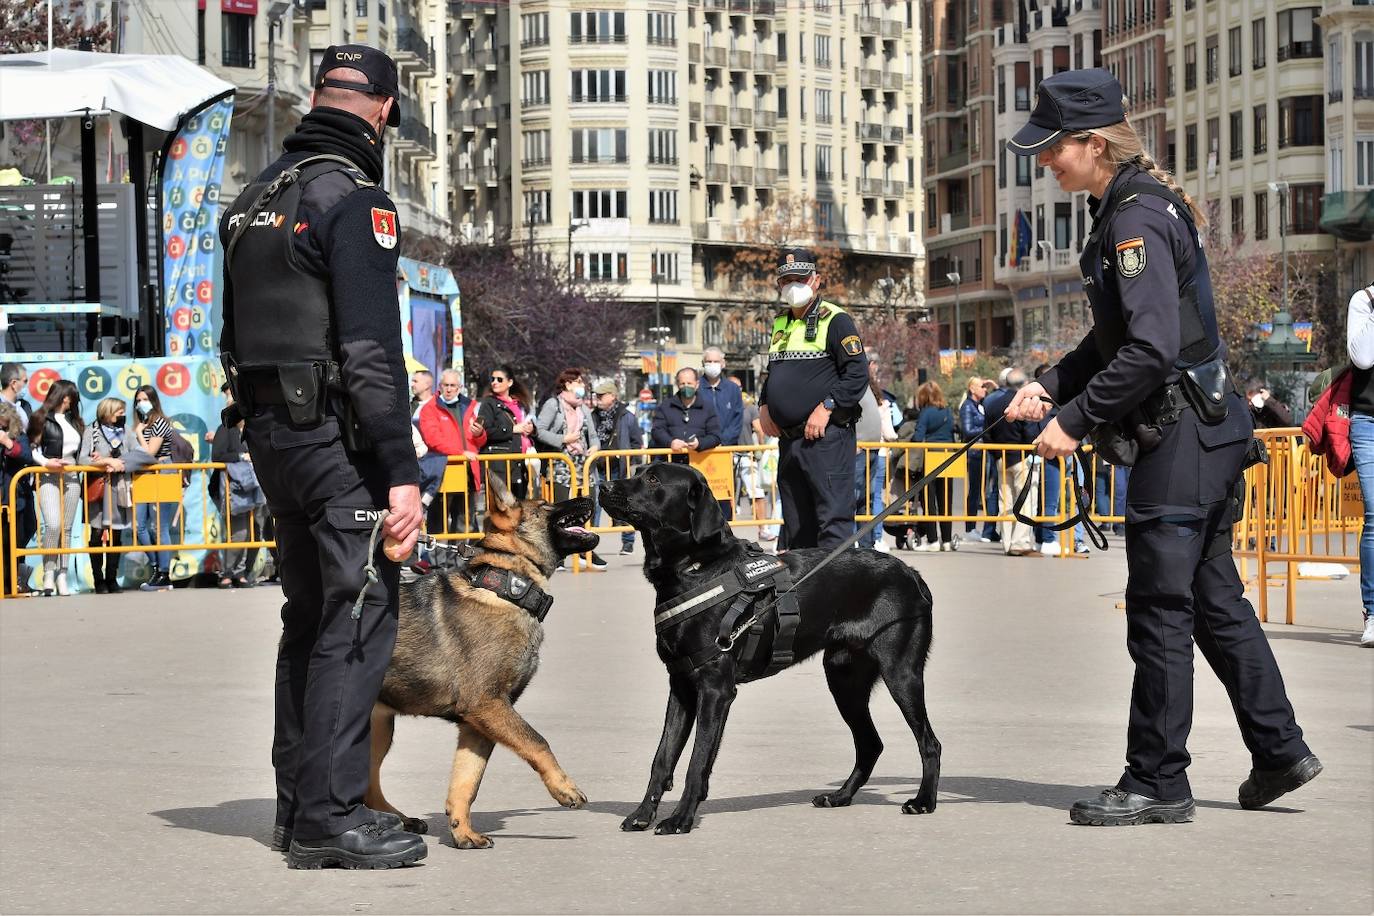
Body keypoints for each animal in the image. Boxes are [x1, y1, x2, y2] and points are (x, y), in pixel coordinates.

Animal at [368, 477, 599, 851]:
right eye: (545, 505)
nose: (592, 494)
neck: (506, 588)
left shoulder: (477, 723)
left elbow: (466, 781)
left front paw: (462, 831)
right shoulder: (488, 705)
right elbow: (538, 741)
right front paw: (564, 787)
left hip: (379, 728)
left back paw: (397, 820)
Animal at [604, 461, 945, 834]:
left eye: (653, 479)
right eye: (638, 470)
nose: (603, 487)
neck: (696, 569)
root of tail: (911, 572)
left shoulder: (715, 689)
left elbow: (697, 761)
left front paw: (681, 818)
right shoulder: (681, 685)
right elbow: (662, 758)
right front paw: (642, 814)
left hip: (901, 674)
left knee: (929, 743)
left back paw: (923, 801)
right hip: (844, 680)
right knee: (870, 743)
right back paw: (840, 796)